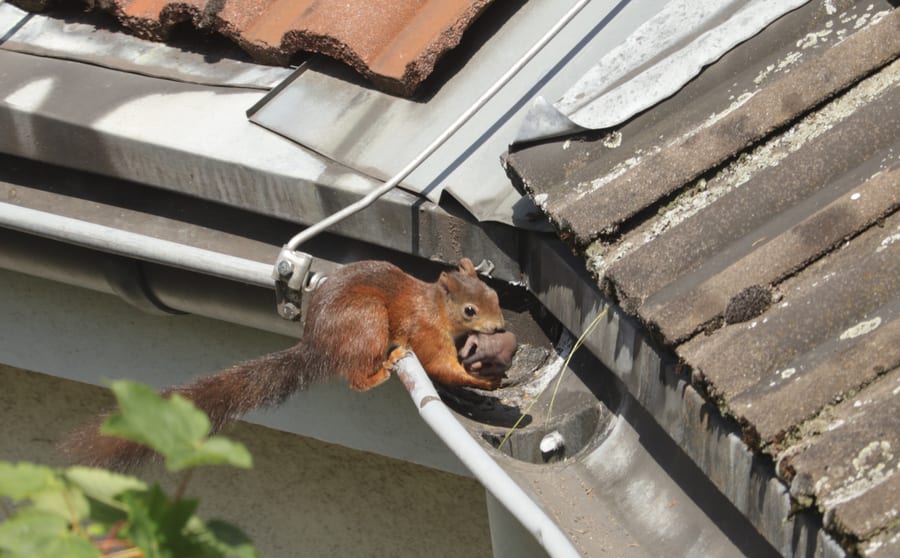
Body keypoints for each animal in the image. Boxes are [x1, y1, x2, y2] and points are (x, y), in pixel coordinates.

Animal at [61, 258, 514, 471]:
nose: (501, 326)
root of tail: (319, 345)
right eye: (470, 309)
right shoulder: (425, 331)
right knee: (355, 377)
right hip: (367, 322)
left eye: (496, 295)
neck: (436, 307)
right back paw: (385, 366)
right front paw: (486, 384)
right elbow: (438, 365)